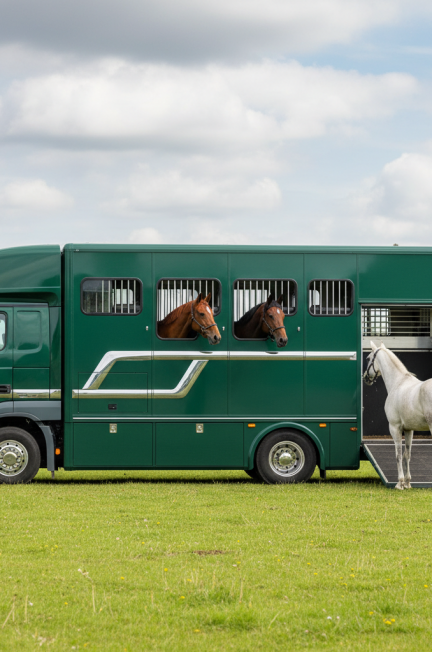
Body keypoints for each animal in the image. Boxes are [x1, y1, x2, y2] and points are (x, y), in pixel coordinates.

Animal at [363, 340, 432, 489]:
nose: (365, 378)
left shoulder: (395, 427)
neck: (398, 382)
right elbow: (407, 454)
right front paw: (407, 482)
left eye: (367, 358)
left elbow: (398, 455)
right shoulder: (409, 430)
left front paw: (399, 483)